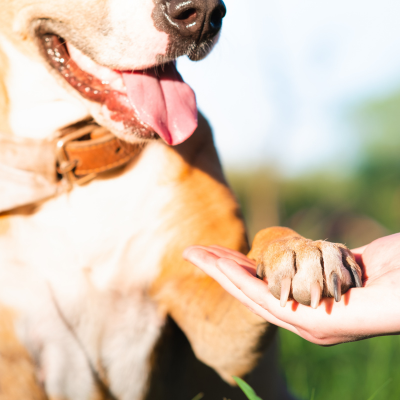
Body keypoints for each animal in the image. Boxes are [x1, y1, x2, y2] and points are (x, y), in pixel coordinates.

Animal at [0, 0, 362, 398]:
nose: (202, 14)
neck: (76, 174)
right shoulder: (15, 360)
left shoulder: (217, 329)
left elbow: (268, 237)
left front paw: (301, 250)